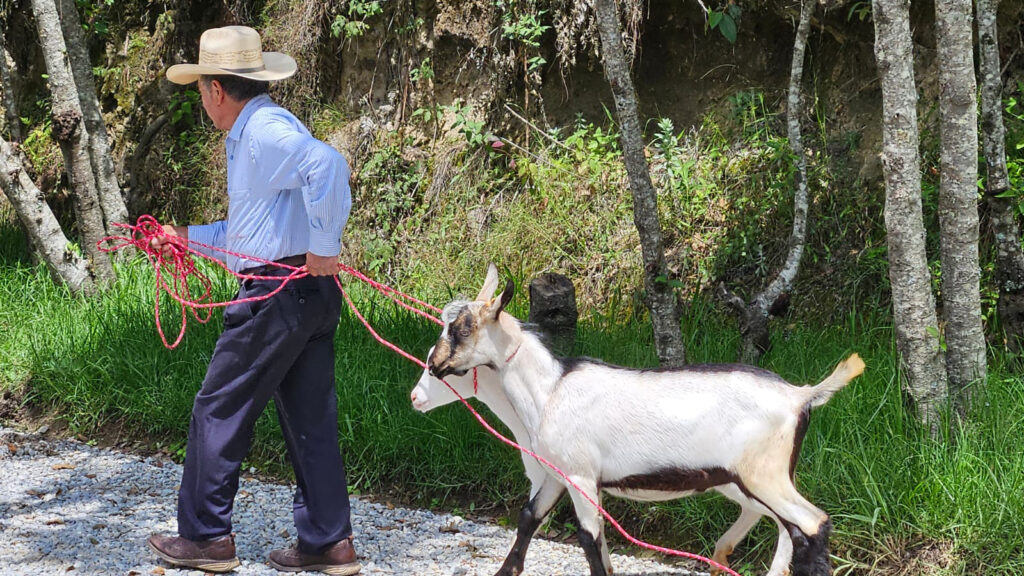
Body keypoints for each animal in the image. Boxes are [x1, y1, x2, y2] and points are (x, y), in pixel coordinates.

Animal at [425, 265, 864, 576]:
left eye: (462, 328)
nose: (434, 365)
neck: (550, 390)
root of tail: (800, 395)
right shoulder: (558, 473)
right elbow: (530, 518)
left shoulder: (580, 474)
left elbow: (588, 537)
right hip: (752, 477)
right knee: (787, 526)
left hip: (763, 473)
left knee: (811, 524)